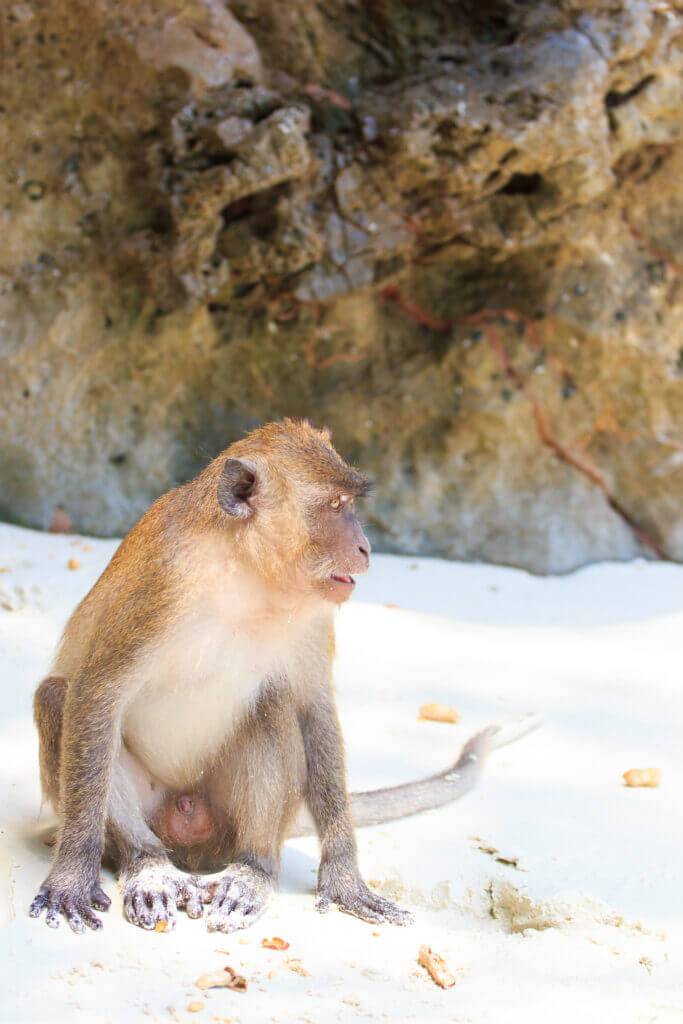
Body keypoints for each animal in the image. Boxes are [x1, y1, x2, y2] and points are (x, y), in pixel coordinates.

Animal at [29, 419, 540, 933]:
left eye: (349, 504)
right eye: (335, 506)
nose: (365, 547)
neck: (246, 574)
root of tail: (189, 832)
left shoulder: (315, 614)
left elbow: (314, 709)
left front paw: (343, 876)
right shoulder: (160, 582)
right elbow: (98, 694)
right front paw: (73, 875)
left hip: (228, 821)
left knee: (272, 704)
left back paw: (252, 871)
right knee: (58, 698)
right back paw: (148, 865)